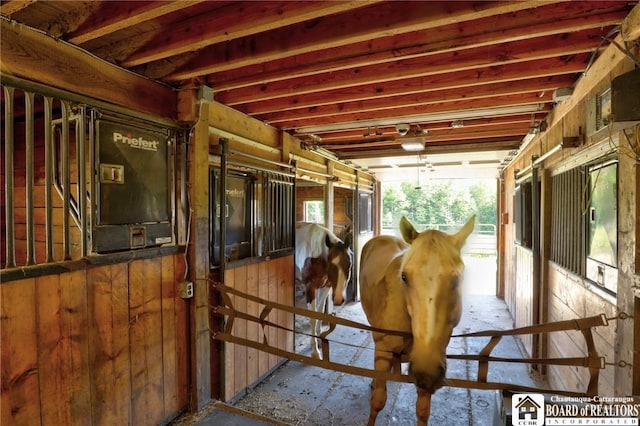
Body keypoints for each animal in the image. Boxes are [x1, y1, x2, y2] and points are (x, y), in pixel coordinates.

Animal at [296, 223, 352, 360]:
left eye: (349, 265)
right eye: (331, 265)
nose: (338, 299)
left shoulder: (326, 287)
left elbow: (320, 313)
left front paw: (320, 341)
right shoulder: (310, 289)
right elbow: (313, 318)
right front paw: (315, 351)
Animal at [360, 216, 476, 426]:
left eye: (457, 279)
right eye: (404, 276)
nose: (425, 373)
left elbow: (422, 411)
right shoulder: (383, 350)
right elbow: (378, 401)